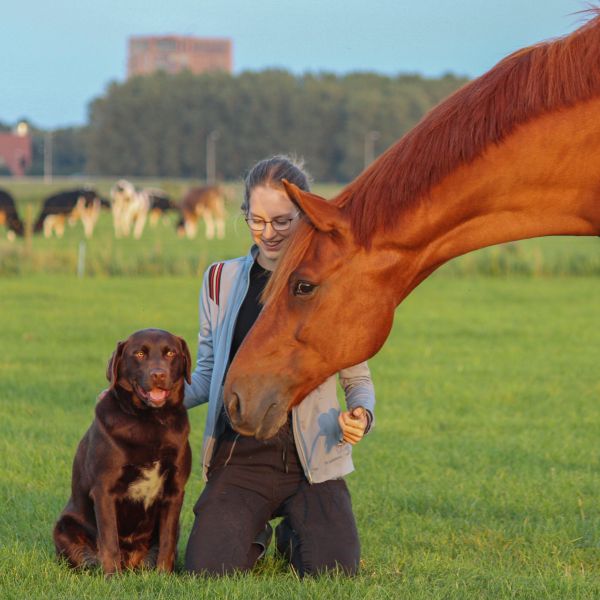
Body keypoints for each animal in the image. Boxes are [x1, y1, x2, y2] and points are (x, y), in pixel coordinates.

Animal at [53, 330, 191, 576]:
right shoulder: (104, 490)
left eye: (170, 353)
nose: (158, 374)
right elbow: (109, 540)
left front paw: (164, 576)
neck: (149, 420)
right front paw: (112, 578)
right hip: (64, 527)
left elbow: (167, 540)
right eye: (139, 354)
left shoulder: (174, 491)